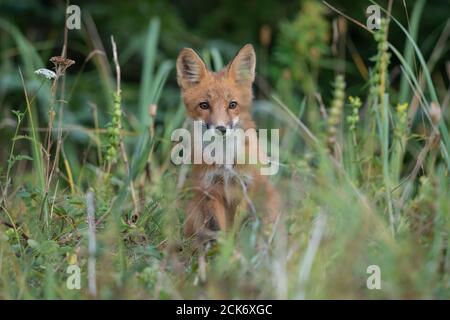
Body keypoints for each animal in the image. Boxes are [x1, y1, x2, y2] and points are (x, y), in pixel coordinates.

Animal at [175, 43, 278, 244]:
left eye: (232, 105)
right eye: (204, 105)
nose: (221, 128)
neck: (226, 160)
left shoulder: (248, 187)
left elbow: (238, 225)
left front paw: (235, 248)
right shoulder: (211, 191)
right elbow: (220, 227)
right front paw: (225, 249)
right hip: (195, 206)